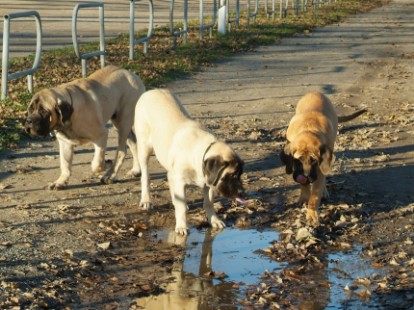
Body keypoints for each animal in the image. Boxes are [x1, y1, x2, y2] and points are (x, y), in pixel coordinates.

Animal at [282, 91, 366, 225]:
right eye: (297, 160)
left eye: (314, 160)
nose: (306, 177)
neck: (308, 128)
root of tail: (315, 92)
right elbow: (304, 186)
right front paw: (304, 196)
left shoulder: (319, 170)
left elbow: (315, 195)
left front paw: (312, 215)